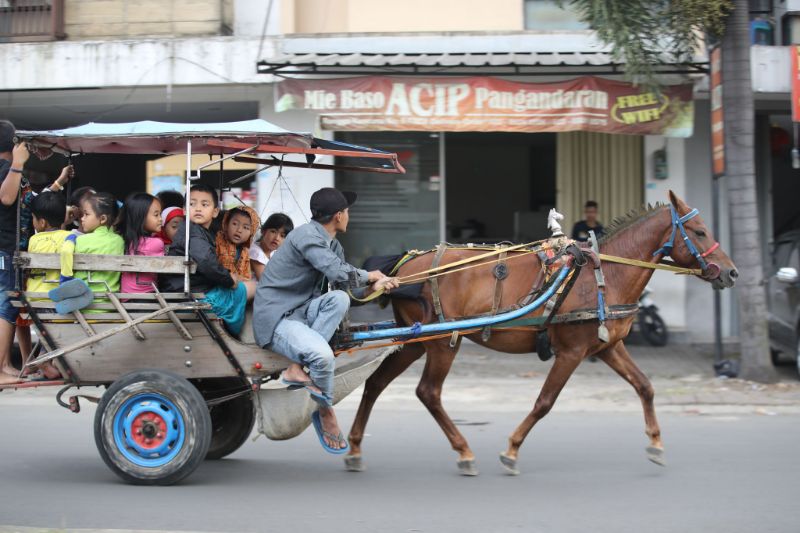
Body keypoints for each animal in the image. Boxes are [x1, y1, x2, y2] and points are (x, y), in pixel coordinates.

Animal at [346, 190, 740, 474]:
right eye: (700, 231)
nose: (732, 273)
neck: (605, 275)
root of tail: (405, 264)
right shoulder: (571, 352)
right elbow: (545, 402)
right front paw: (511, 450)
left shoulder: (607, 347)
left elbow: (645, 386)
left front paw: (656, 444)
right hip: (443, 341)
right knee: (428, 392)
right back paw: (463, 451)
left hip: (414, 339)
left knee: (375, 383)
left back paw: (354, 446)